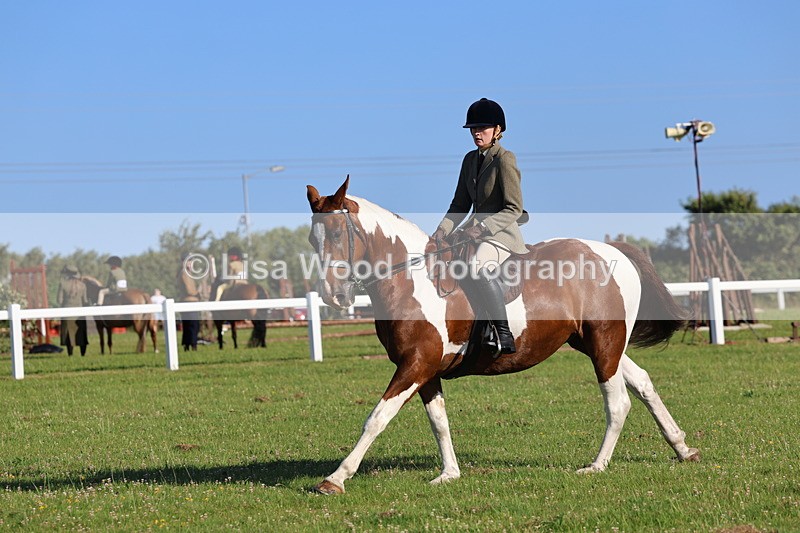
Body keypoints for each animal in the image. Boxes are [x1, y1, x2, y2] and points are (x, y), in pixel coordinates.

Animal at [306, 177, 699, 495]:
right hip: (596, 344)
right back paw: (682, 448)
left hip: (604, 343)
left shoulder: (416, 364)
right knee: (643, 382)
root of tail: (613, 251)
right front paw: (449, 474)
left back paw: (596, 466)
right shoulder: (425, 369)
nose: (333, 296)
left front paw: (336, 478)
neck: (412, 280)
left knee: (618, 402)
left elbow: (377, 417)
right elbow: (439, 422)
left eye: (338, 234)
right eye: (313, 238)